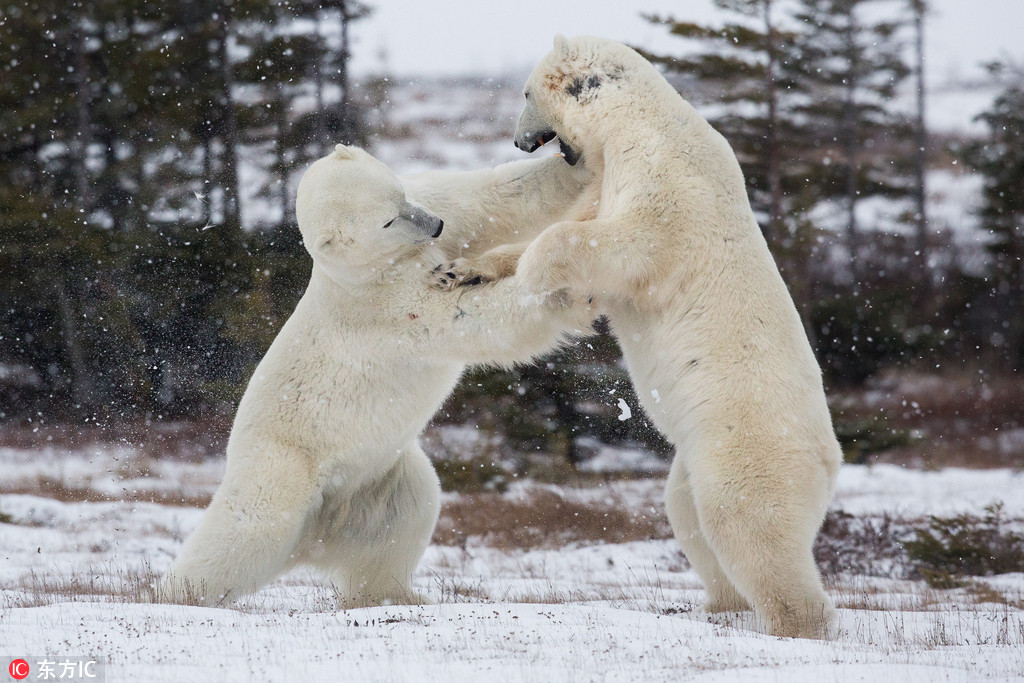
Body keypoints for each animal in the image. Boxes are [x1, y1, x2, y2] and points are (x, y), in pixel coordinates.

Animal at [155, 147, 598, 606]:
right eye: (386, 221)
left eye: (399, 193)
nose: (435, 225)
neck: (372, 267)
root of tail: (314, 538)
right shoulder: (386, 306)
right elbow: (466, 315)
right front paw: (569, 291)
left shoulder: (434, 205)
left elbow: (501, 196)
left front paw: (575, 158)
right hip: (282, 467)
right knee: (245, 531)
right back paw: (176, 595)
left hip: (377, 479)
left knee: (408, 514)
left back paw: (396, 596)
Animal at [456, 34, 839, 638]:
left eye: (524, 93)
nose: (518, 141)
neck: (634, 123)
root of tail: (831, 461)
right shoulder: (609, 175)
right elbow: (579, 222)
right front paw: (468, 268)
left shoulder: (668, 184)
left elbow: (620, 243)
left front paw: (538, 276)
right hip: (694, 459)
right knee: (689, 516)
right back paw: (718, 606)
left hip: (747, 447)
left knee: (747, 526)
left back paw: (795, 625)